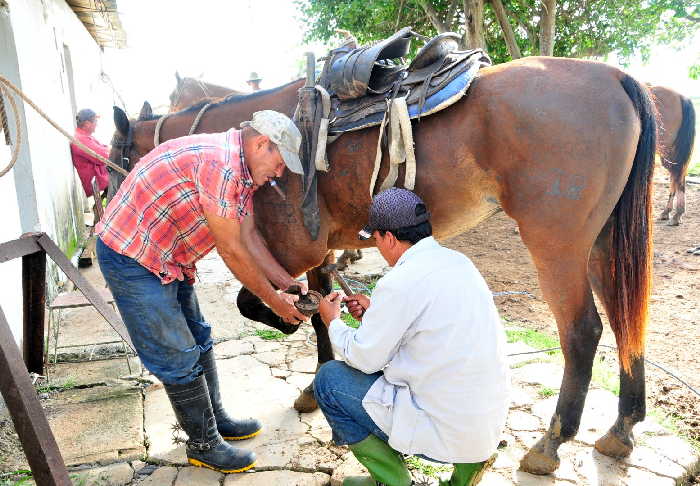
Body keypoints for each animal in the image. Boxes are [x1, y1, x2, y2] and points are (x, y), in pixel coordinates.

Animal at [109, 58, 656, 474]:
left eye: (119, 153)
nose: (106, 204)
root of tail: (613, 75)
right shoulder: (322, 251)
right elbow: (322, 308)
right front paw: (314, 383)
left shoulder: (296, 247)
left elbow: (265, 302)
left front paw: (296, 337)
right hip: (605, 243)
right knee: (627, 326)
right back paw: (621, 429)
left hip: (557, 245)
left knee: (583, 332)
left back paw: (551, 443)